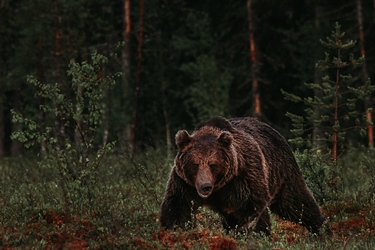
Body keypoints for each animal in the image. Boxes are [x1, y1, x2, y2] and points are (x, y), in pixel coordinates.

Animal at [160, 116, 330, 235]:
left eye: (213, 164)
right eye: (195, 164)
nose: (205, 187)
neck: (219, 187)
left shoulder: (243, 177)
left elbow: (251, 209)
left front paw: (252, 233)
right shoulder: (185, 184)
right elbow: (177, 208)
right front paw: (174, 232)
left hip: (282, 171)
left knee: (295, 203)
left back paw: (322, 229)